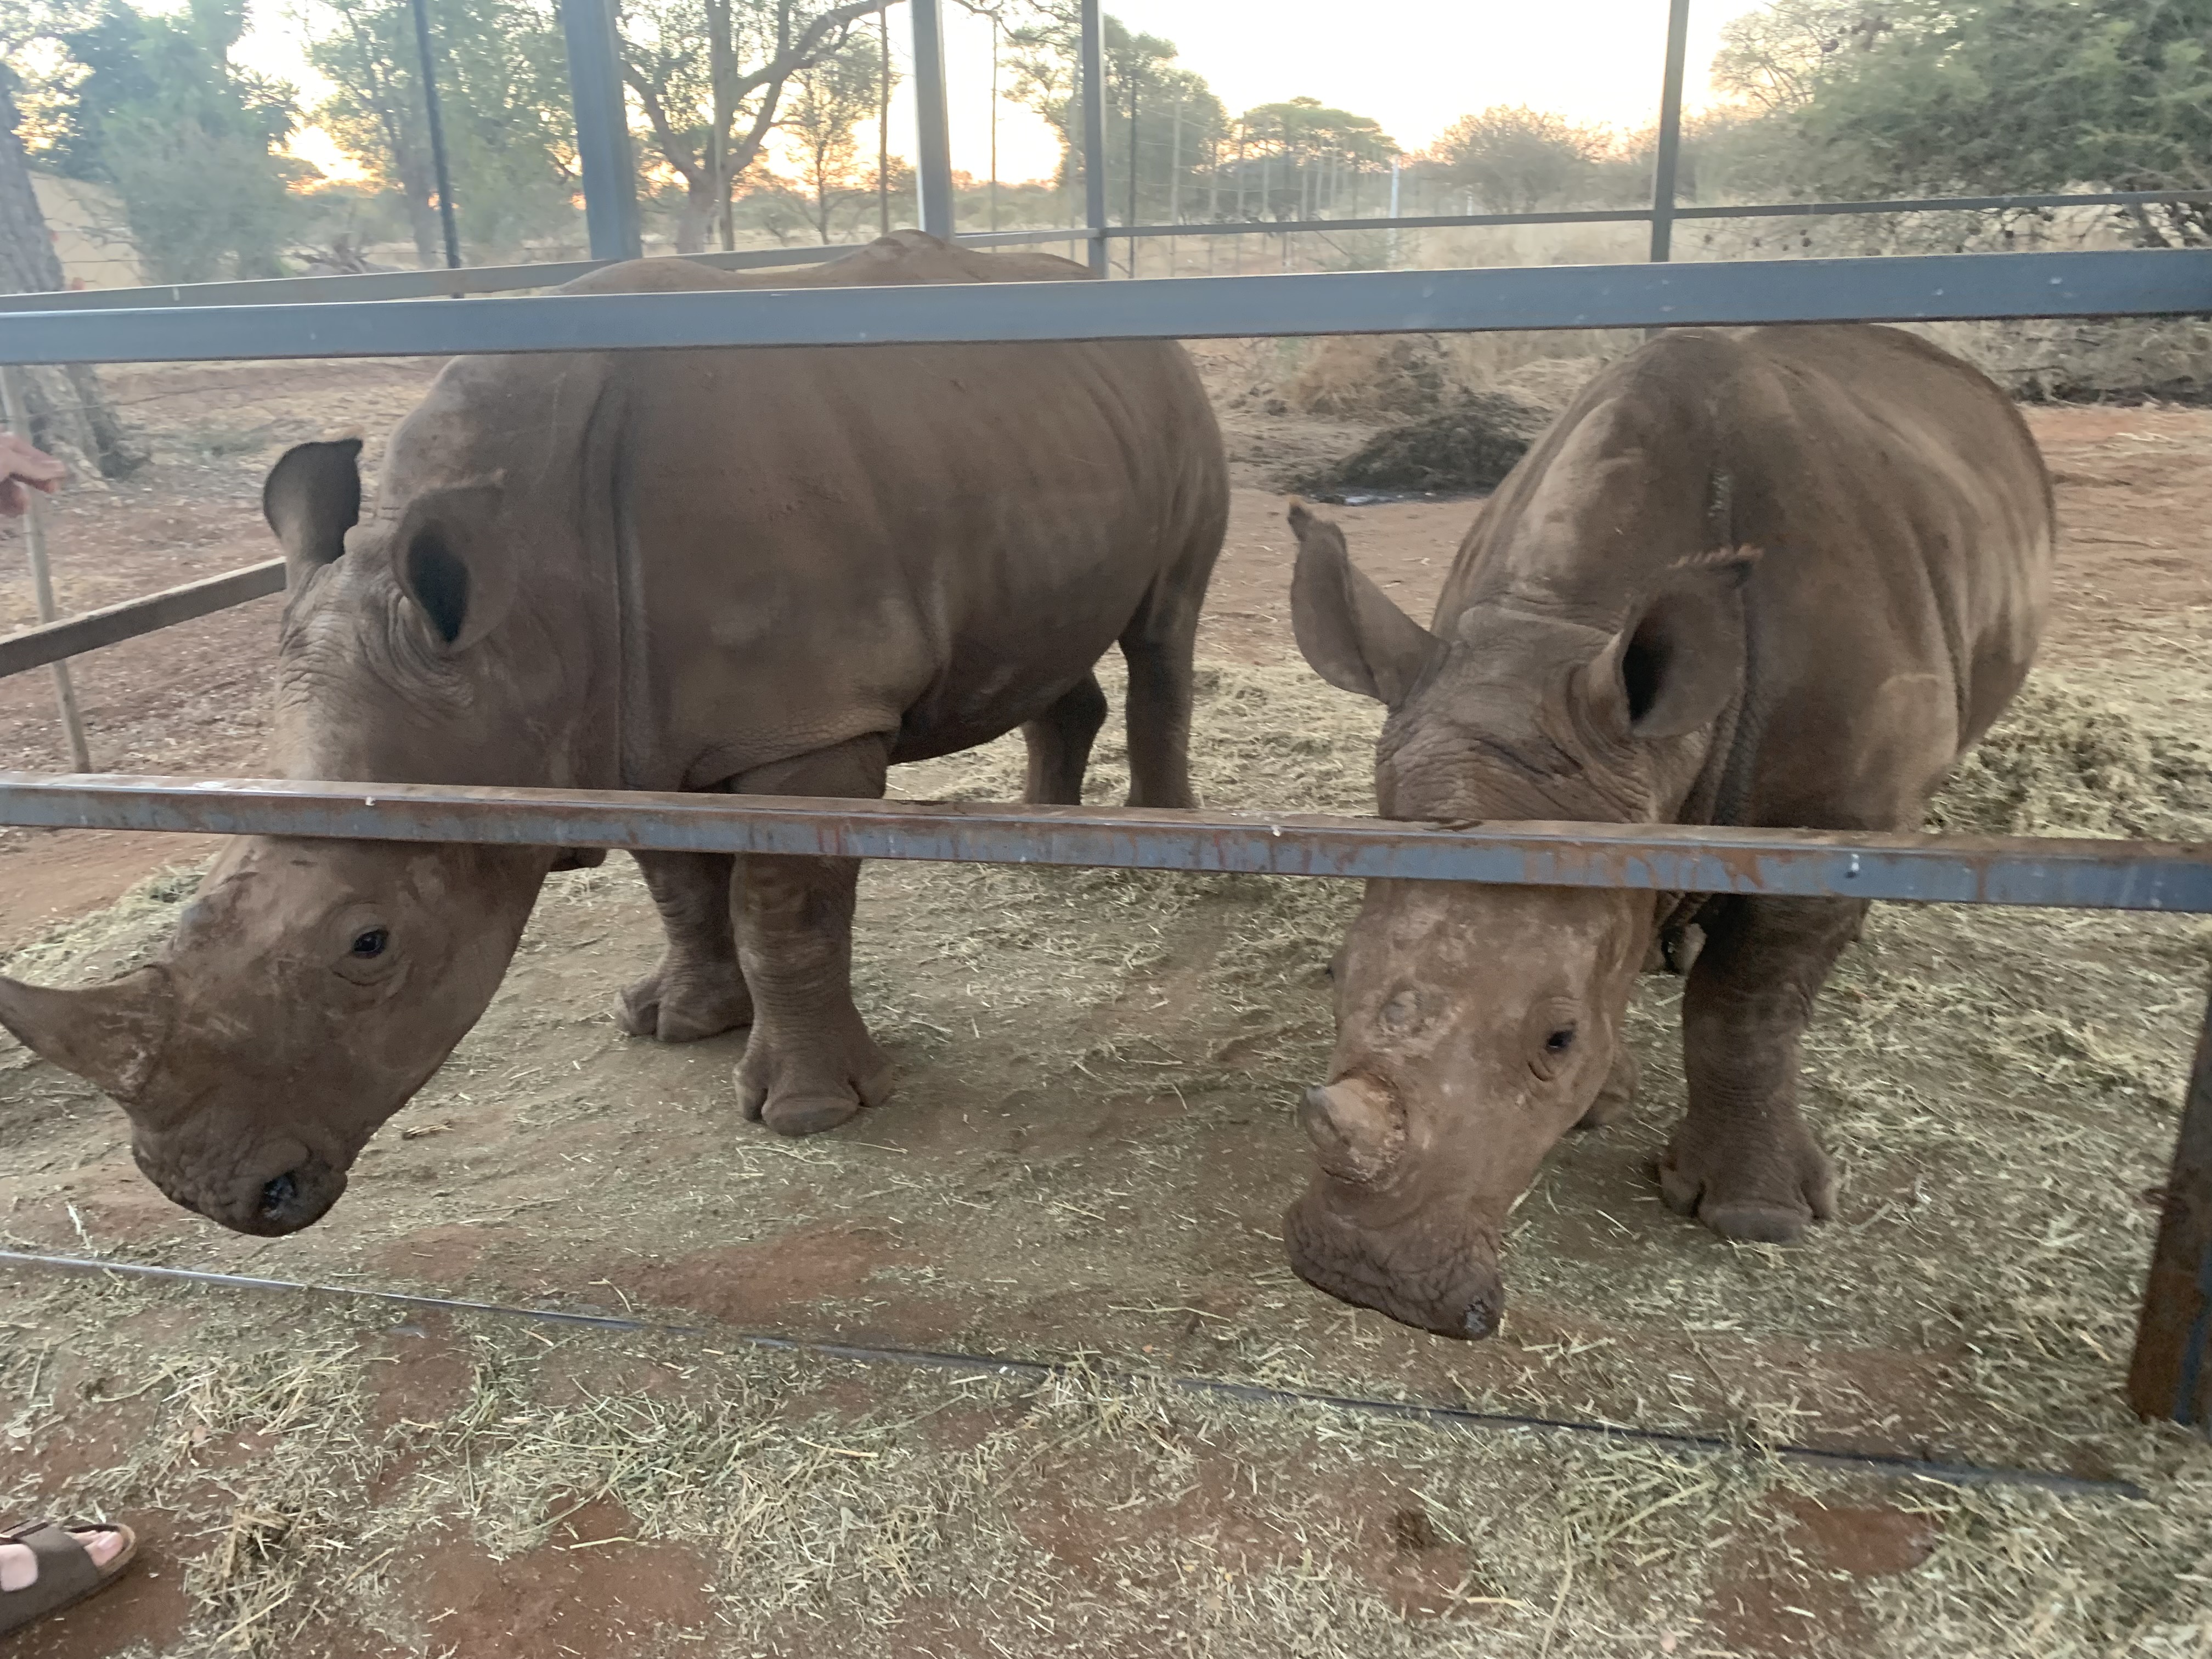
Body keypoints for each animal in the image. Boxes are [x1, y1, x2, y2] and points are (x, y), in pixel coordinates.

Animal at [0, 232, 1227, 1235]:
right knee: (1057, 640)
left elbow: (784, 911)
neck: (519, 618)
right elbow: (678, 879)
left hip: (1176, 394)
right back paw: (1045, 853)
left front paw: (809, 1113)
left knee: (1164, 624)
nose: (206, 1195)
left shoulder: (808, 726)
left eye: (370, 945)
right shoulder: (621, 721)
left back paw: (1168, 855)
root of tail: (1104, 297)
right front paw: (675, 1023)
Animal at [1284, 324, 2052, 1339]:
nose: (1363, 1278)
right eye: (1336, 974)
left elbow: (1746, 1002)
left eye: (1558, 1039)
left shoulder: (1839, 819)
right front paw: (1600, 1105)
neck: (1560, 635)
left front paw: (1755, 1217)